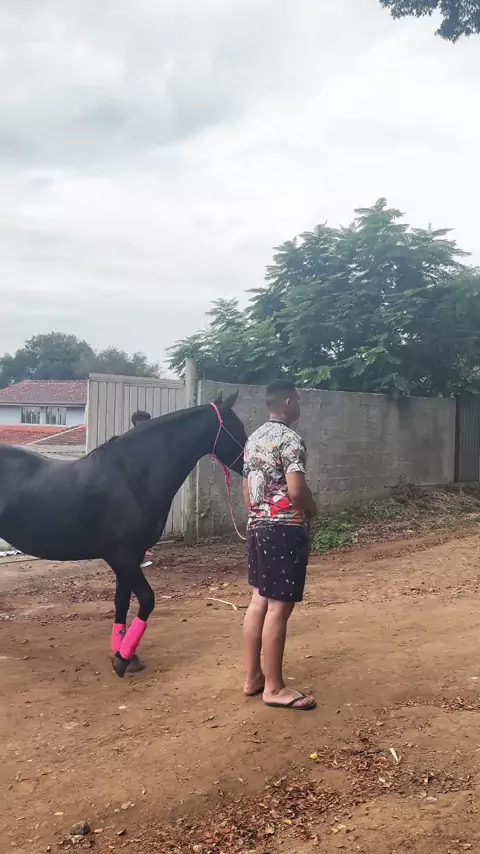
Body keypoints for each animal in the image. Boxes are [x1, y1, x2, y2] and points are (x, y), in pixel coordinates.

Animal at [0, 392, 246, 677]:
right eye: (238, 428)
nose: (250, 463)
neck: (135, 476)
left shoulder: (131, 558)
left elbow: (122, 602)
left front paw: (125, 654)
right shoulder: (123, 557)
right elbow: (147, 600)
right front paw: (123, 657)